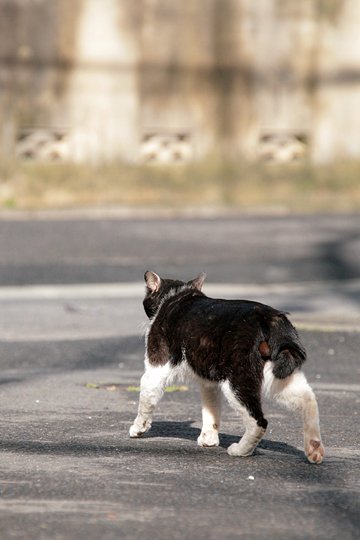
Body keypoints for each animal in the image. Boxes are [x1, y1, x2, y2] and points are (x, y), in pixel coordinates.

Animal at [131, 270, 324, 464]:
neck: (176, 296)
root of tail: (270, 318)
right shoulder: (208, 382)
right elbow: (211, 409)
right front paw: (209, 438)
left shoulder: (156, 366)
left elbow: (146, 399)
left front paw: (138, 428)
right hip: (278, 375)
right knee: (309, 399)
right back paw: (314, 448)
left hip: (237, 382)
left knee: (259, 422)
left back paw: (240, 450)